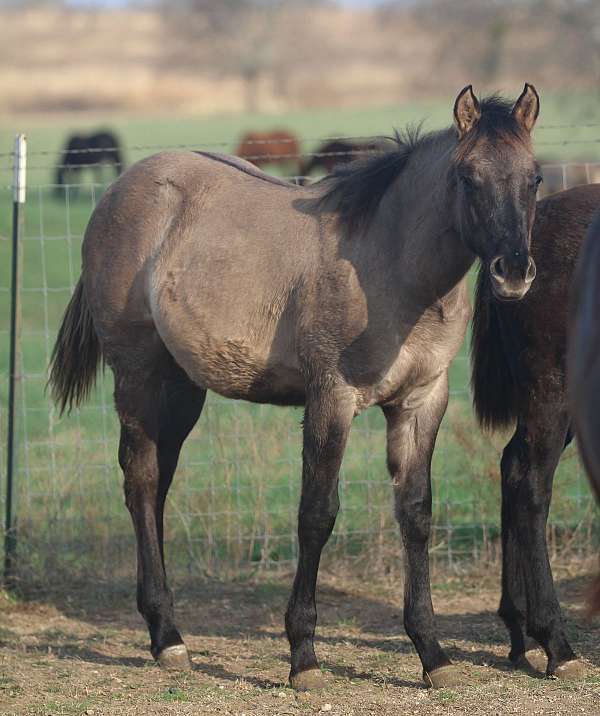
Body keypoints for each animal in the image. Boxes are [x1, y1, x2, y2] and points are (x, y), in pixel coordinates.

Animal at [50, 84, 540, 688]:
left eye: (534, 178)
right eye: (468, 176)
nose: (512, 272)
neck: (392, 266)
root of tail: (120, 190)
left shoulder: (422, 402)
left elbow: (417, 514)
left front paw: (432, 652)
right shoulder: (331, 397)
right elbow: (317, 514)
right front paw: (303, 655)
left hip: (181, 386)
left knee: (158, 483)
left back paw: (163, 627)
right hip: (138, 374)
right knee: (140, 481)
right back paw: (168, 639)